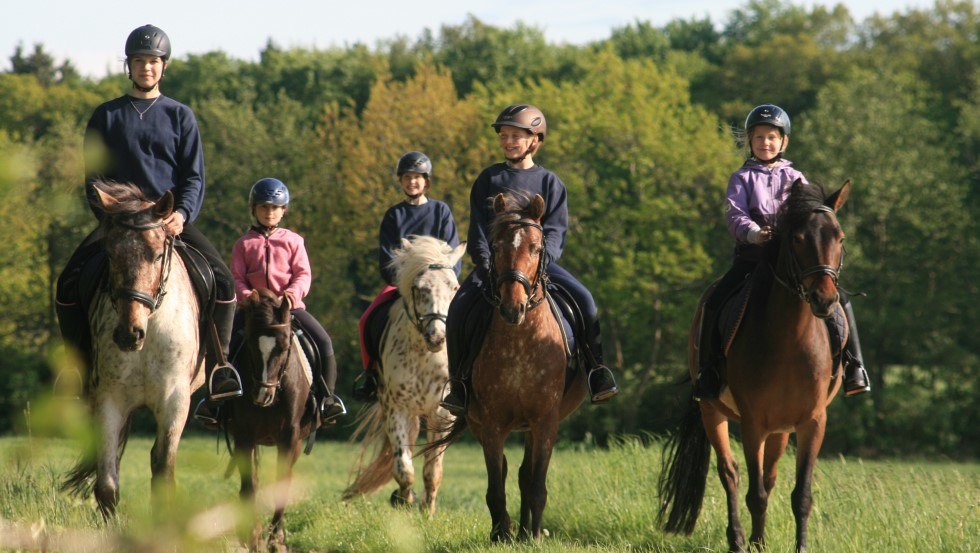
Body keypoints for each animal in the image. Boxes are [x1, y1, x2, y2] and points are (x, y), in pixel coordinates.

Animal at [62, 180, 204, 518]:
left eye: (157, 254)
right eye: (110, 255)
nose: (129, 335)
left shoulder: (175, 401)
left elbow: (163, 473)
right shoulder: (109, 399)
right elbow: (106, 485)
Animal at [222, 288, 318, 552]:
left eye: (284, 347)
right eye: (252, 347)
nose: (263, 395)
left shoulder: (289, 437)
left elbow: (281, 484)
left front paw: (276, 540)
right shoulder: (244, 435)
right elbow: (250, 486)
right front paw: (253, 537)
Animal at [343, 236, 465, 515]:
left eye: (454, 287)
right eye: (419, 288)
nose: (437, 337)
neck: (423, 355)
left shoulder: (441, 413)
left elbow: (432, 471)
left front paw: (427, 512)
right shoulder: (395, 408)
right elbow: (403, 467)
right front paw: (404, 500)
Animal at [439, 192, 588, 542]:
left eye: (535, 247)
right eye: (495, 246)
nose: (512, 307)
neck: (521, 343)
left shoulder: (545, 421)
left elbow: (536, 484)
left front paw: (533, 535)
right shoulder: (491, 423)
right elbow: (496, 485)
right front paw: (500, 534)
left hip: (531, 427)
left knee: (523, 474)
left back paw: (523, 531)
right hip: (480, 423)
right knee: (508, 472)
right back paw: (508, 530)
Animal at [658, 180, 852, 553]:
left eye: (840, 238)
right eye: (798, 238)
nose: (824, 299)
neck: (791, 341)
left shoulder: (812, 422)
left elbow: (800, 495)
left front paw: (796, 546)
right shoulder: (752, 424)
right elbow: (755, 493)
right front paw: (751, 542)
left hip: (781, 428)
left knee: (770, 475)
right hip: (713, 411)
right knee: (730, 473)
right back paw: (736, 539)